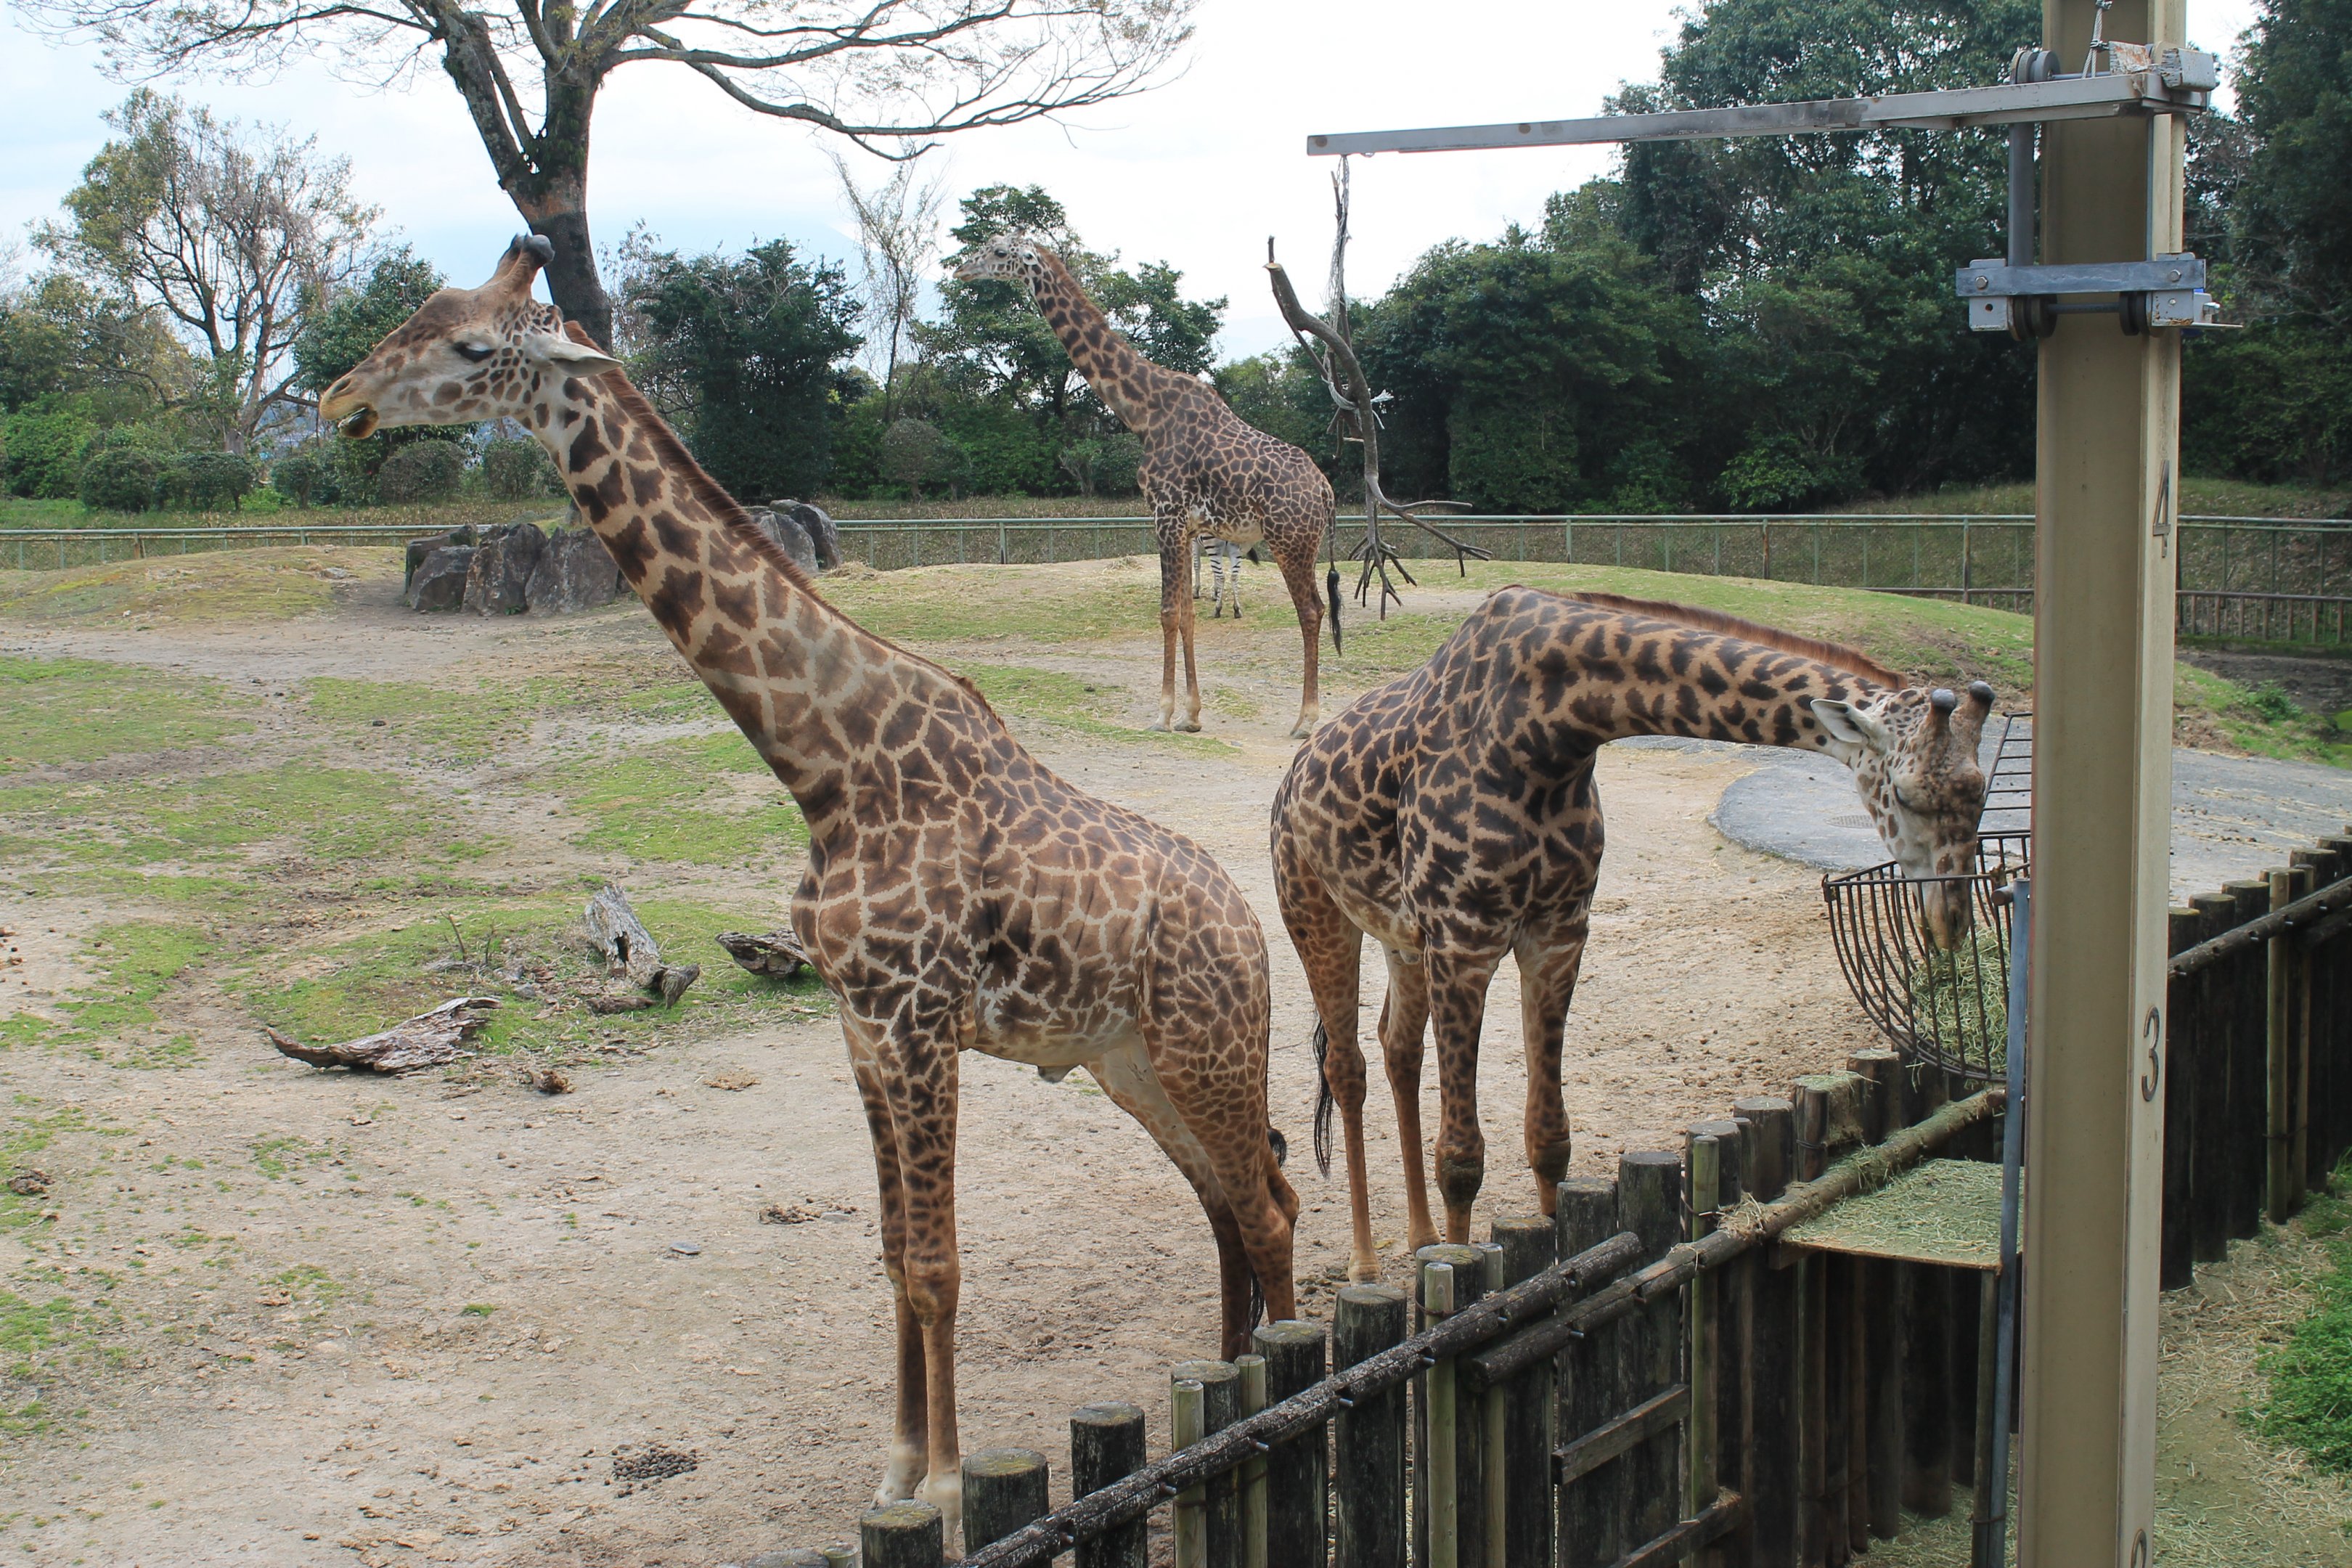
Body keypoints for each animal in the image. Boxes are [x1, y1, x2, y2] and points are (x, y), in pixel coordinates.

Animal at [319, 237, 1298, 1542]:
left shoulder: (917, 1022)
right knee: (1234, 1199)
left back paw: (1273, 1382)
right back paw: (1225, 1381)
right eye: (417, 313)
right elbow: (890, 1256)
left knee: (1271, 1202)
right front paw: (894, 1473)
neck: (829, 769)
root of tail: (1248, 927)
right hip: (1130, 1060)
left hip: (1203, 1044)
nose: (341, 398)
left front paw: (948, 1489)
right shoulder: (860, 1028)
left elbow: (936, 1262)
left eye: (474, 345)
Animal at [955, 234, 1338, 737]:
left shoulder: (1165, 514)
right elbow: (1189, 613)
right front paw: (1192, 715)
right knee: (1314, 608)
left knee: (1311, 610)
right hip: (1294, 541)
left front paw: (1163, 713)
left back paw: (1306, 720)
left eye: (1000, 252)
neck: (1143, 411)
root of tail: (1326, 492)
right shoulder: (1187, 526)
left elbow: (1167, 612)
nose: (961, 270)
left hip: (1290, 540)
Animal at [1272, 587, 1993, 1278]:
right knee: (1347, 1067)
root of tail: (1293, 775)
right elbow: (1463, 1158)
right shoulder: (1464, 937)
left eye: (1982, 792)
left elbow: (1550, 1138)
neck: (1550, 735)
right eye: (1908, 795)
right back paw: (1366, 1262)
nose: (1951, 919)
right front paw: (1458, 1273)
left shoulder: (1557, 933)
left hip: (1400, 936)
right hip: (1316, 912)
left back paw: (1420, 1239)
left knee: (1399, 1048)